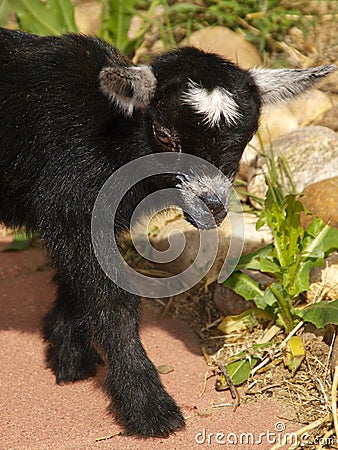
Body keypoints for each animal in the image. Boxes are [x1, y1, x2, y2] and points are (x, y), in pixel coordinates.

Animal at [0, 28, 336, 436]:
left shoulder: (77, 218)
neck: (111, 135)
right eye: (163, 134)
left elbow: (79, 283)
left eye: (245, 139)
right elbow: (112, 305)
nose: (213, 206)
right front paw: (149, 407)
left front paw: (68, 350)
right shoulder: (73, 206)